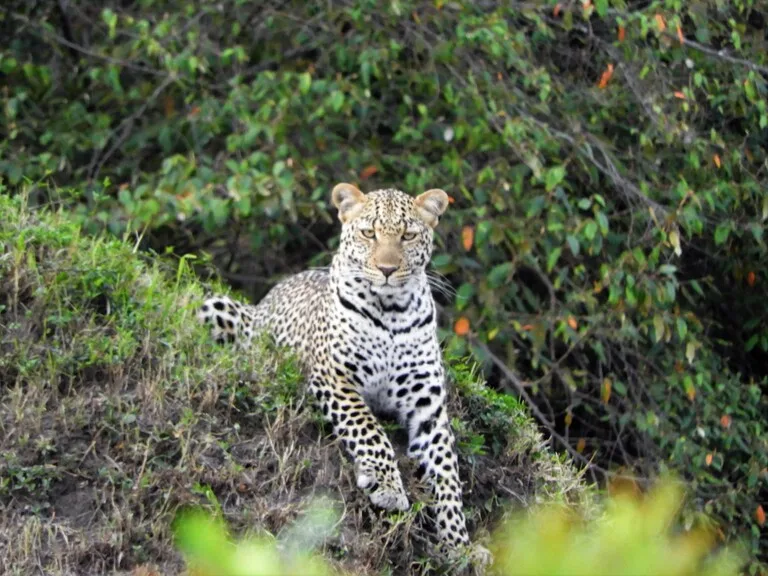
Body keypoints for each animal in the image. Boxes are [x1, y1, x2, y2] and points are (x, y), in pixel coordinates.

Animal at [198, 181, 492, 564]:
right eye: (369, 233)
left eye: (408, 235)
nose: (386, 269)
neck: (393, 312)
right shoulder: (335, 378)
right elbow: (370, 430)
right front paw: (387, 487)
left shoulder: (428, 409)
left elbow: (447, 475)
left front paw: (459, 545)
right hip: (216, 308)